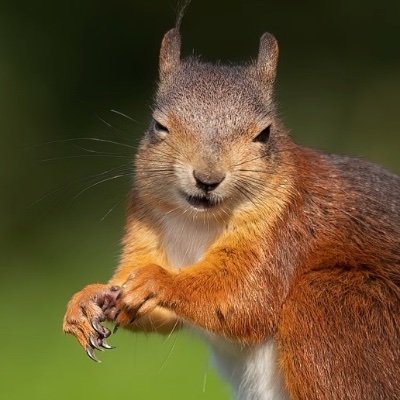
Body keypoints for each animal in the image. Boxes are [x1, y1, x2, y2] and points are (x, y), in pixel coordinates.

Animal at [63, 20, 400, 400]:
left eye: (264, 134)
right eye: (158, 125)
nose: (207, 179)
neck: (197, 222)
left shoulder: (287, 231)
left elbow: (245, 297)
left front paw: (156, 280)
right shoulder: (145, 226)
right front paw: (85, 301)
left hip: (330, 308)